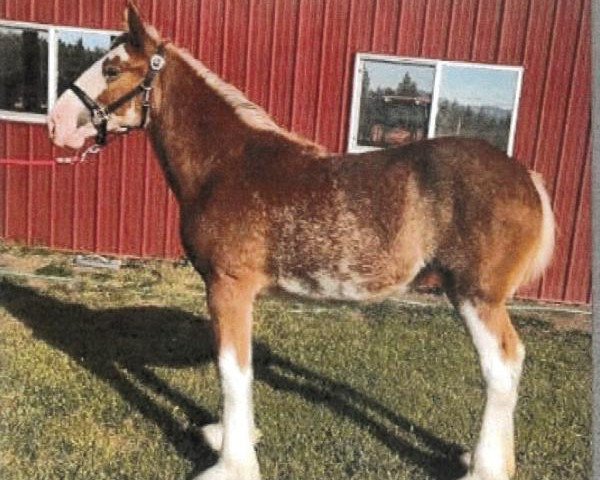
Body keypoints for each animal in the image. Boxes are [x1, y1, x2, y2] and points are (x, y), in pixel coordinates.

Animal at [47, 1, 552, 478]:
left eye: (112, 69)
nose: (56, 122)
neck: (225, 165)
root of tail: (527, 177)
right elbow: (242, 364)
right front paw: (231, 436)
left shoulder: (227, 285)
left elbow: (231, 371)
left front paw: (231, 465)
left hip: (476, 296)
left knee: (502, 367)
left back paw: (483, 468)